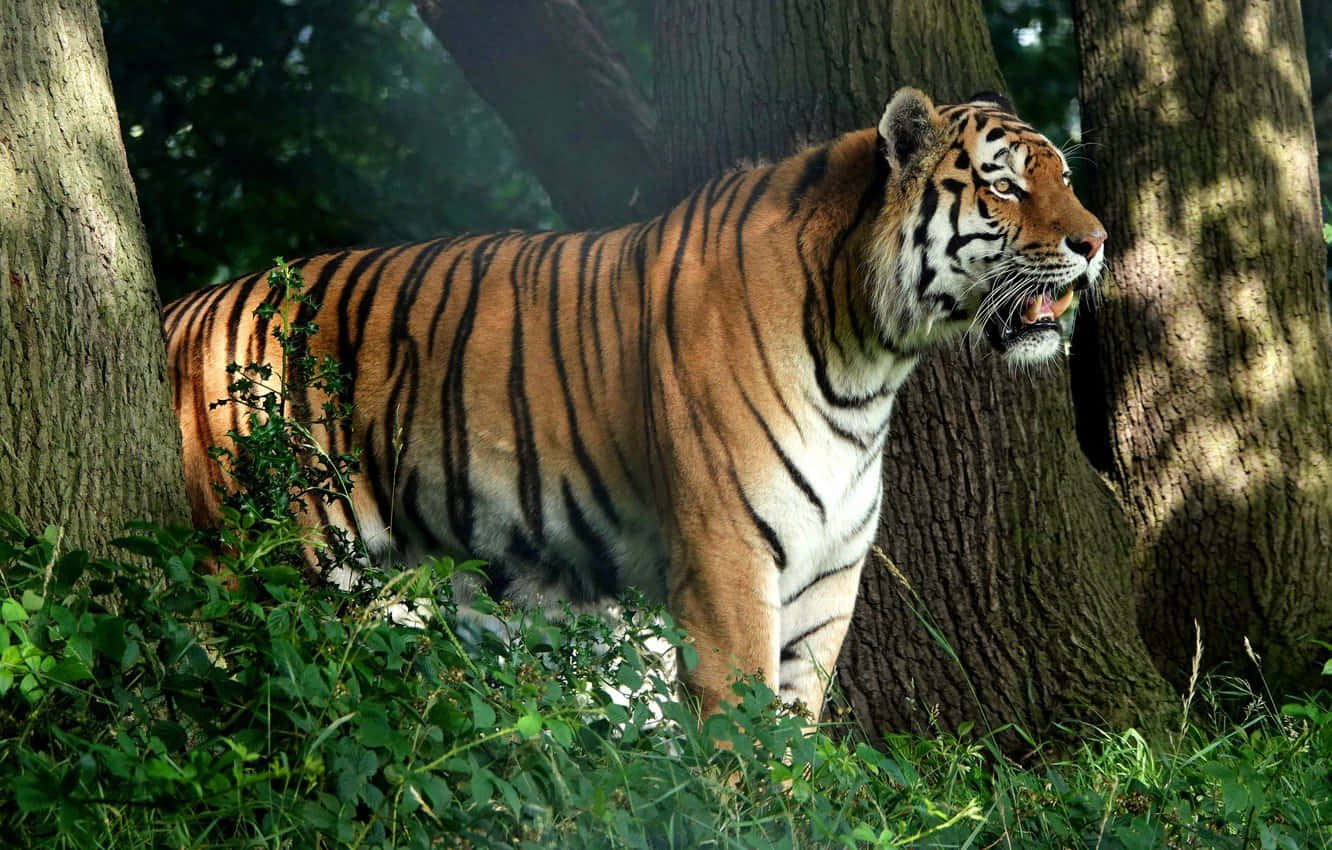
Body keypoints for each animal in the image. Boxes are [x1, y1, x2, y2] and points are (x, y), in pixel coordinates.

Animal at [163, 88, 1106, 721]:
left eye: (1064, 176)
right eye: (1006, 187)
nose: (1096, 243)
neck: (871, 361)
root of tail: (185, 310)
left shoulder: (828, 586)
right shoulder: (728, 564)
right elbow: (742, 738)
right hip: (268, 565)